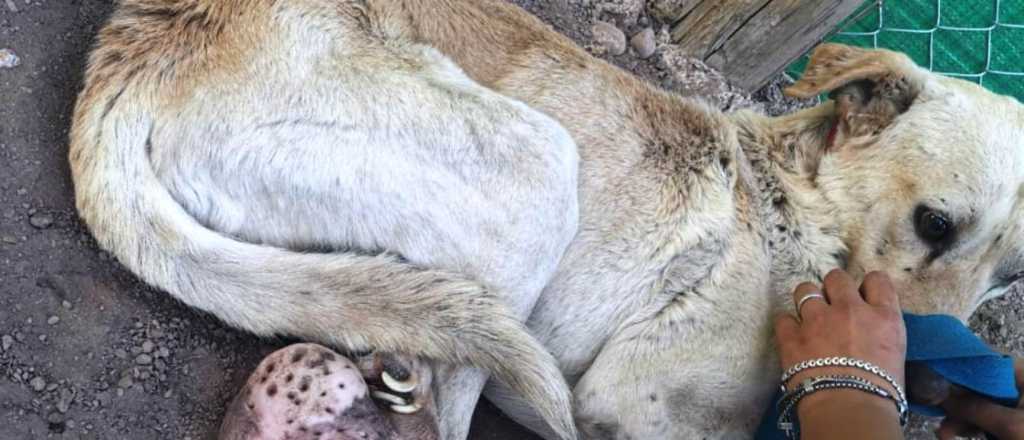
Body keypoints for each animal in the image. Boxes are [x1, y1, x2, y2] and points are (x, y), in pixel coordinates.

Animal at [72, 0, 1024, 440]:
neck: (801, 209)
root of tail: (142, 44)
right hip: (535, 165)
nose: (927, 370)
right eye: (936, 224)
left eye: (1011, 276)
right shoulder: (634, 409)